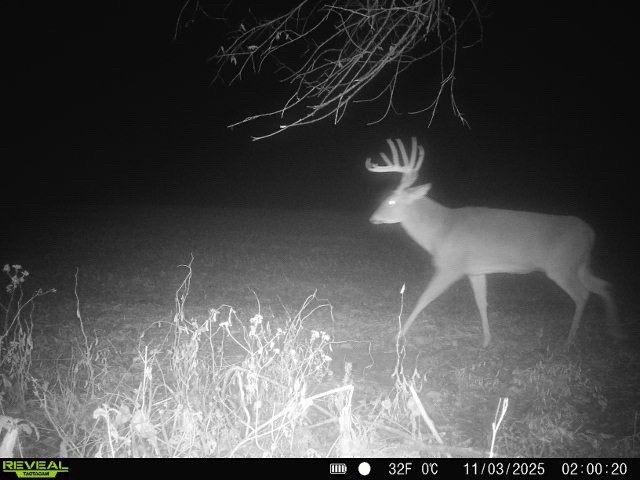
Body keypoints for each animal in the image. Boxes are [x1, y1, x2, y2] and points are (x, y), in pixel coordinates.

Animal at [365, 137, 624, 348]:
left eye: (391, 201)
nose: (372, 218)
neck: (441, 230)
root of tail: (590, 233)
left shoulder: (451, 266)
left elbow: (424, 297)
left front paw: (398, 335)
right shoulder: (475, 270)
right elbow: (482, 302)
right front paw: (487, 340)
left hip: (561, 265)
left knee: (582, 294)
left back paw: (570, 340)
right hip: (579, 264)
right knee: (603, 286)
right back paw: (614, 331)